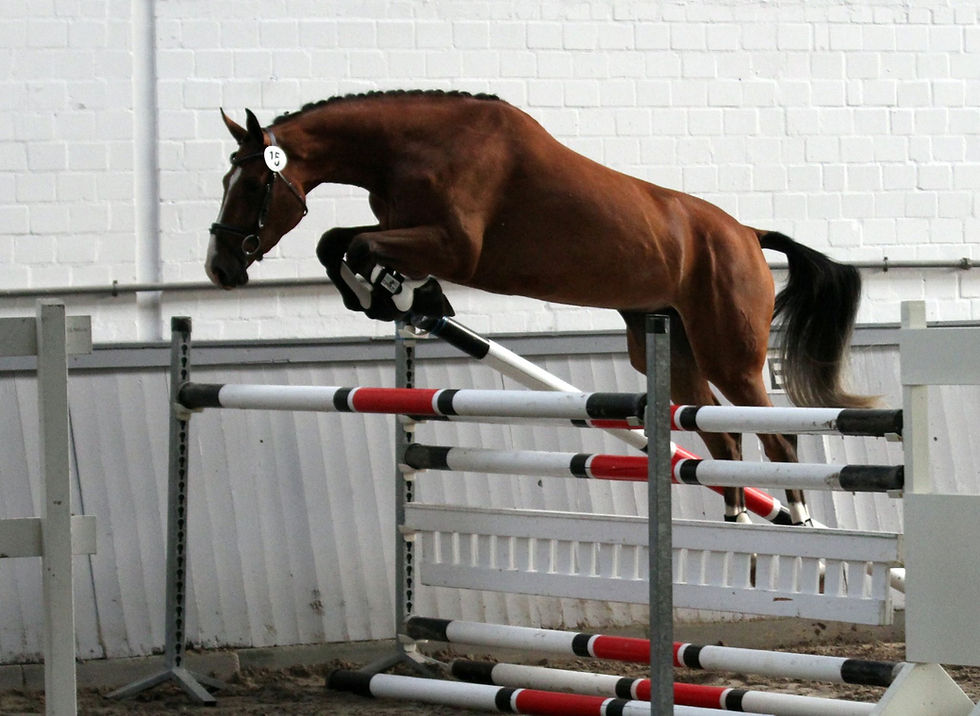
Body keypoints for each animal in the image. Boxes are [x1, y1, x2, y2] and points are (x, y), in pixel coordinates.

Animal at [208, 89, 873, 525]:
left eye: (251, 184)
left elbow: (353, 243)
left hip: (729, 354)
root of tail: (747, 233)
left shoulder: (455, 245)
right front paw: (392, 295)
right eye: (225, 180)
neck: (413, 146)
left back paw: (799, 520)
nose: (220, 268)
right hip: (669, 346)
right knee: (722, 438)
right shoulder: (406, 229)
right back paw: (737, 524)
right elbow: (339, 241)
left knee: (775, 441)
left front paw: (397, 292)